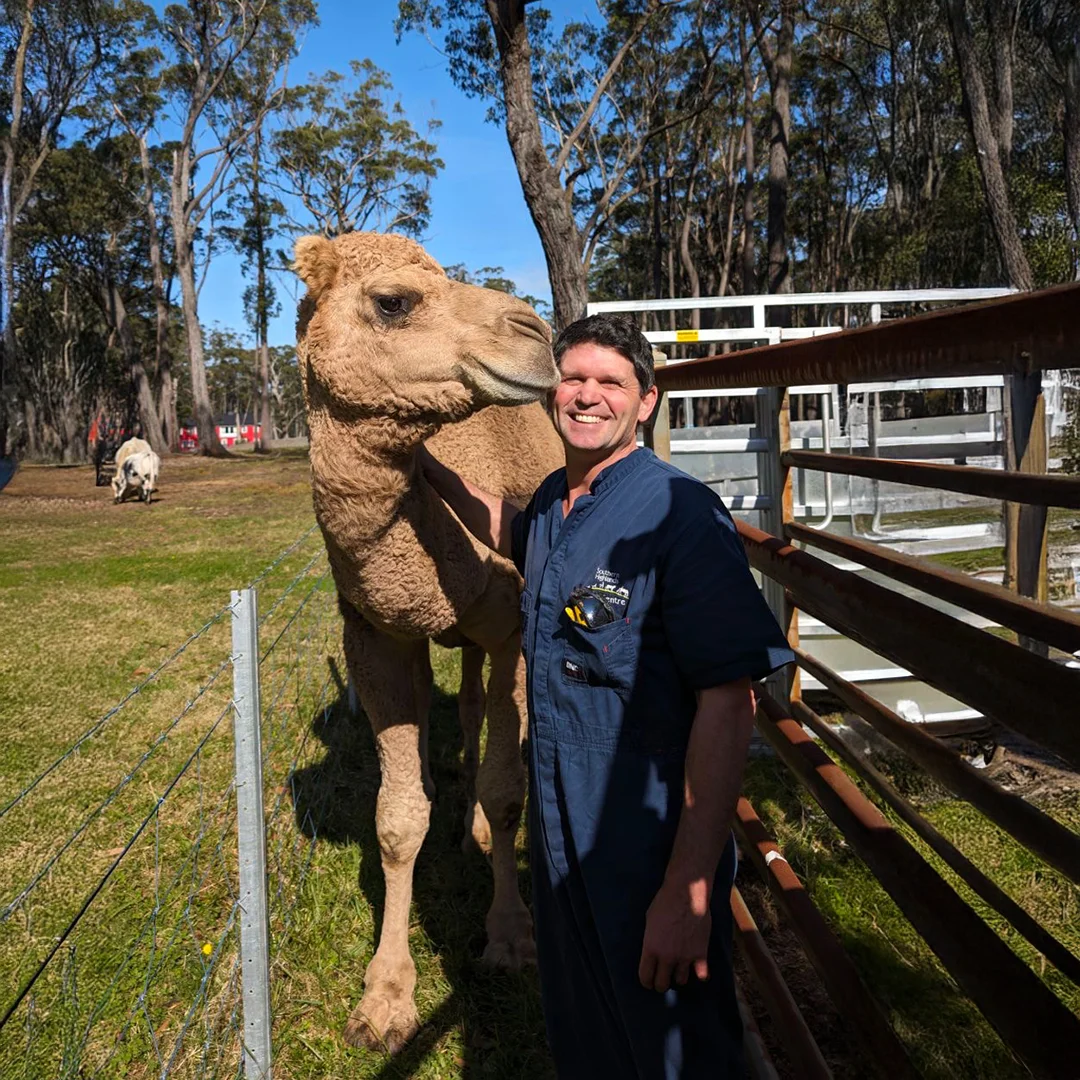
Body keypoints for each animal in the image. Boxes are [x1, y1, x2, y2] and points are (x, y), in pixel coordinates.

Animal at [294, 231, 564, 1053]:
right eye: (394, 301)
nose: (536, 335)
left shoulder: (511, 625)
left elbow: (508, 791)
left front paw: (510, 938)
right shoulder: (375, 638)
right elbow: (395, 819)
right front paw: (385, 1000)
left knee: (485, 716)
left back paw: (472, 822)